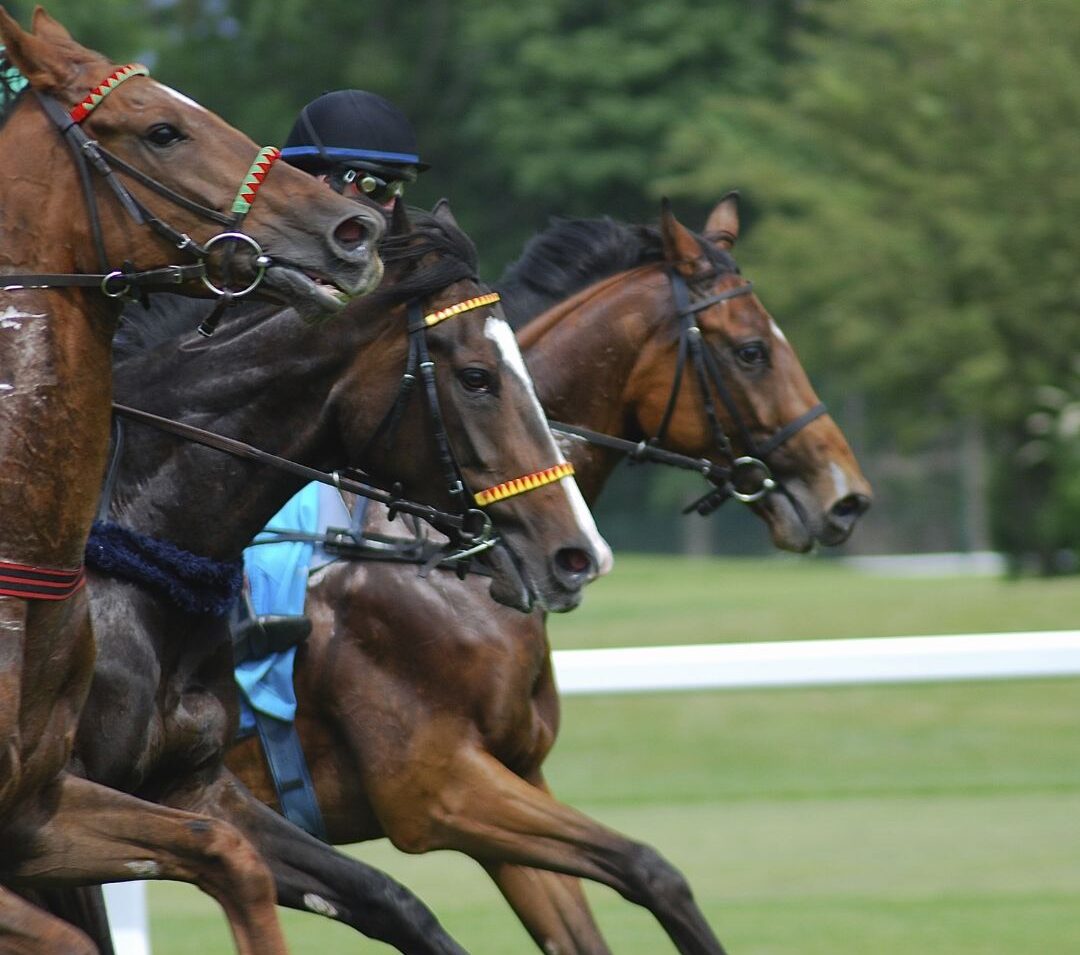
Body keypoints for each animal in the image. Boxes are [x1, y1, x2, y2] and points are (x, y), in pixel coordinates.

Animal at [225, 196, 872, 955]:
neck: (432, 562)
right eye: (751, 351)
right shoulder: (437, 789)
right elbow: (650, 869)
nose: (846, 496)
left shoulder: (513, 776)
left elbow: (607, 907)